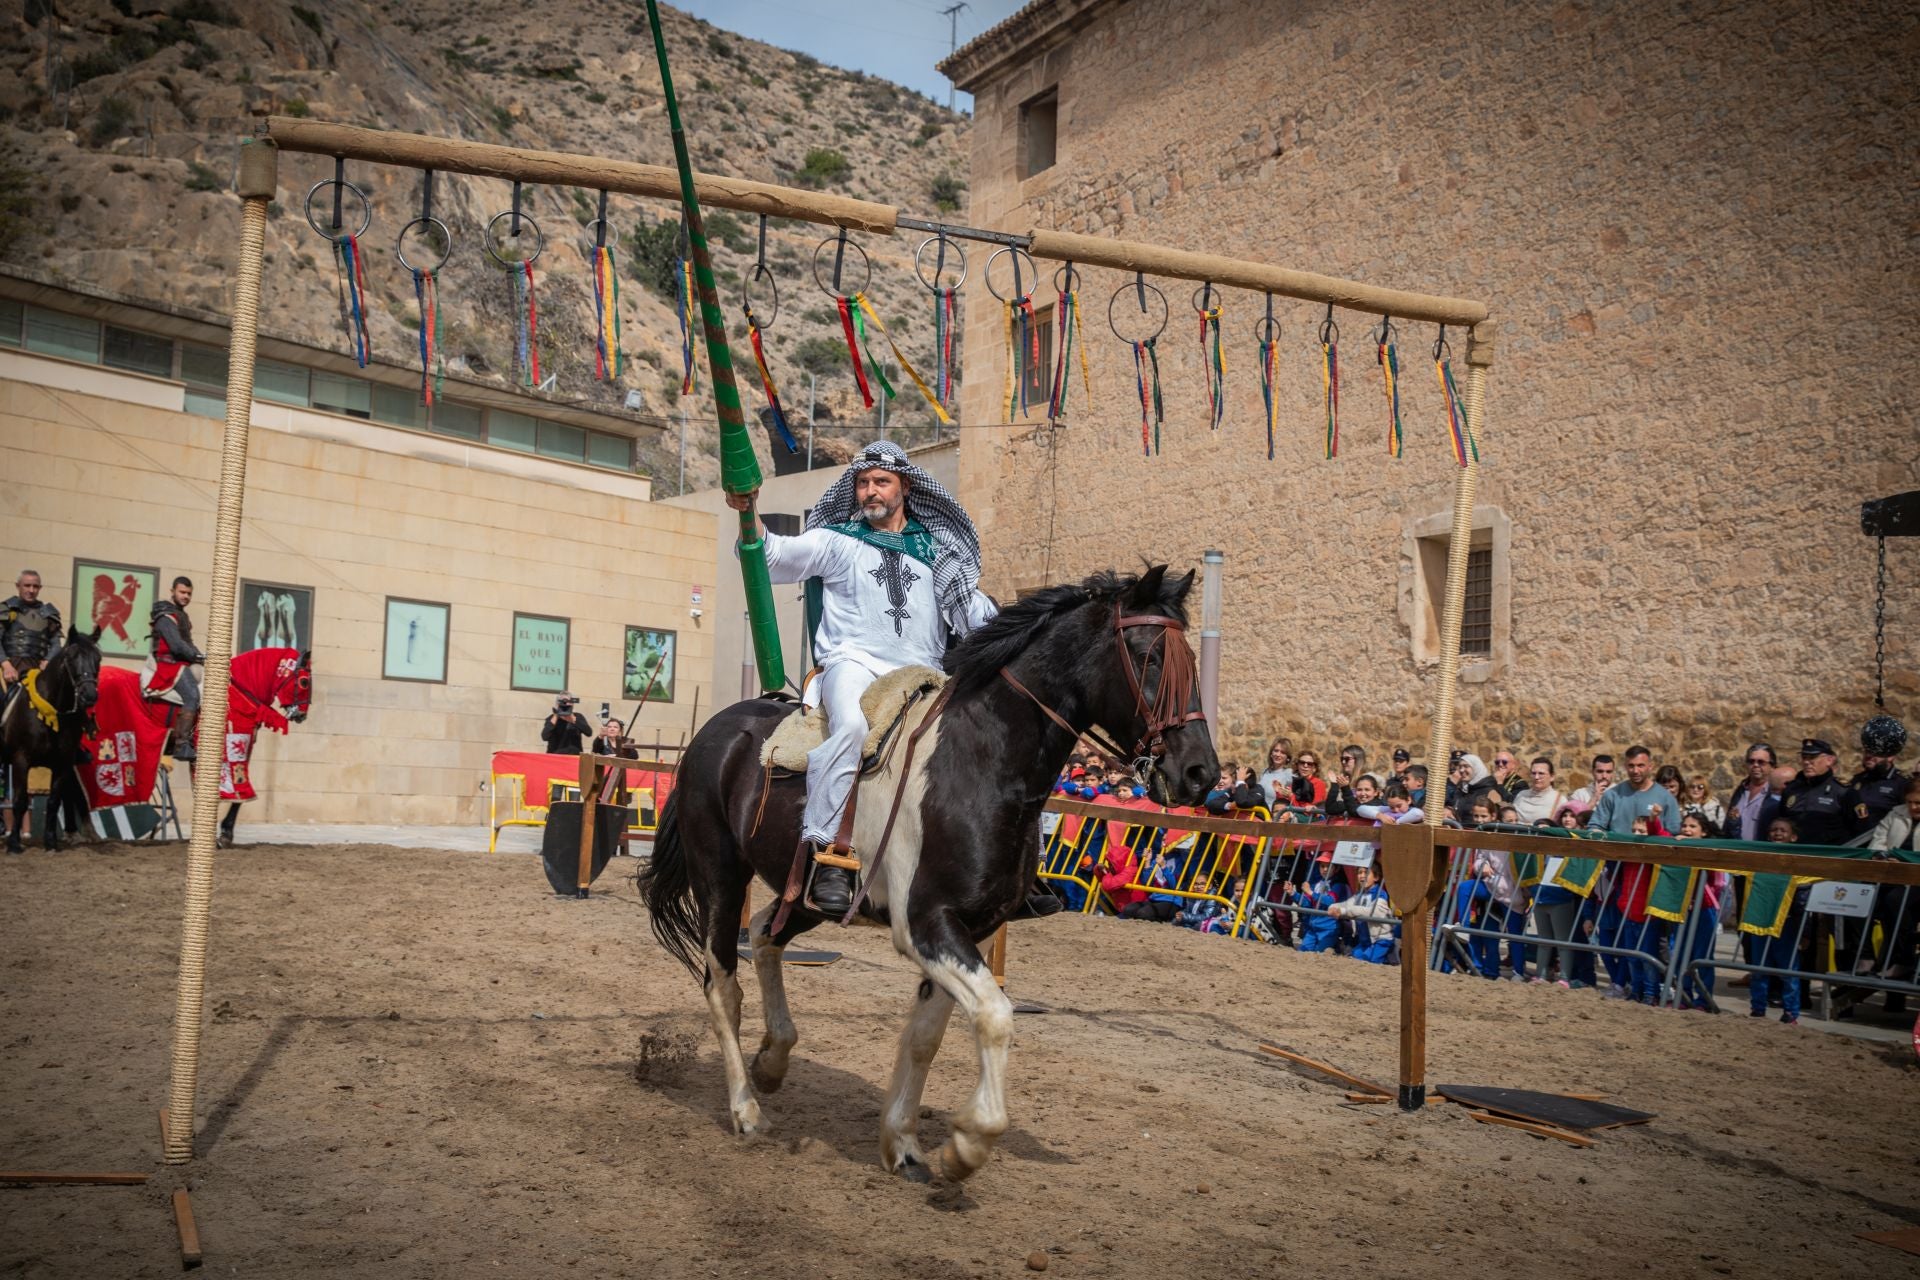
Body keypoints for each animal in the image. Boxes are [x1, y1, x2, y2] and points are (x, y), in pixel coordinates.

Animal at [645, 564, 1213, 1189]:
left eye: (1190, 658)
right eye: (1148, 657)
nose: (1199, 772)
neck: (980, 762)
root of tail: (715, 731)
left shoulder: (974, 929)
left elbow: (926, 1036)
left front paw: (905, 1144)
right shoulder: (926, 925)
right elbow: (994, 1017)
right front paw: (967, 1145)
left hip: (810, 898)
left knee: (767, 934)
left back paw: (774, 1059)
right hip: (720, 879)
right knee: (723, 984)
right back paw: (746, 1108)